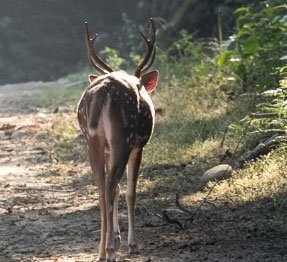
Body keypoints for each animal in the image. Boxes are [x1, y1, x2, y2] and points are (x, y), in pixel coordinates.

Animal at [77, 18, 160, 262]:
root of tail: (103, 91)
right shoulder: (139, 145)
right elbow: (131, 191)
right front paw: (132, 243)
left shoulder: (107, 151)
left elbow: (116, 191)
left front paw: (117, 237)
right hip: (123, 137)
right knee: (111, 183)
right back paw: (110, 251)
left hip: (92, 140)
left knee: (102, 187)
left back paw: (101, 251)